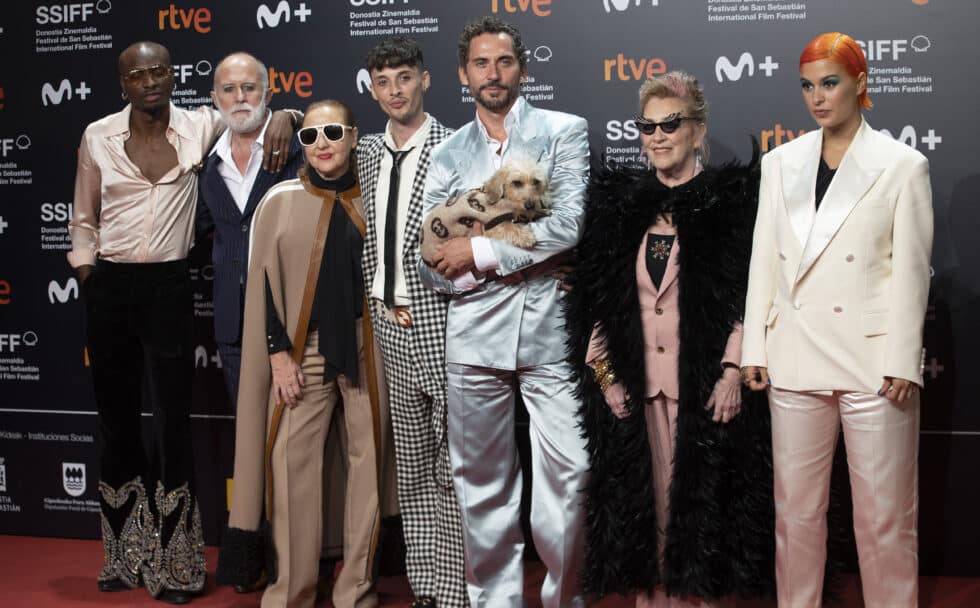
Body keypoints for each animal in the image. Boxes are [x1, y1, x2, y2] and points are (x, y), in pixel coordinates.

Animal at [418, 159, 548, 266]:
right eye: (516, 183)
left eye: (536, 182)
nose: (530, 205)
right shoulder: (489, 225)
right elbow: (507, 226)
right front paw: (525, 236)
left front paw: (542, 211)